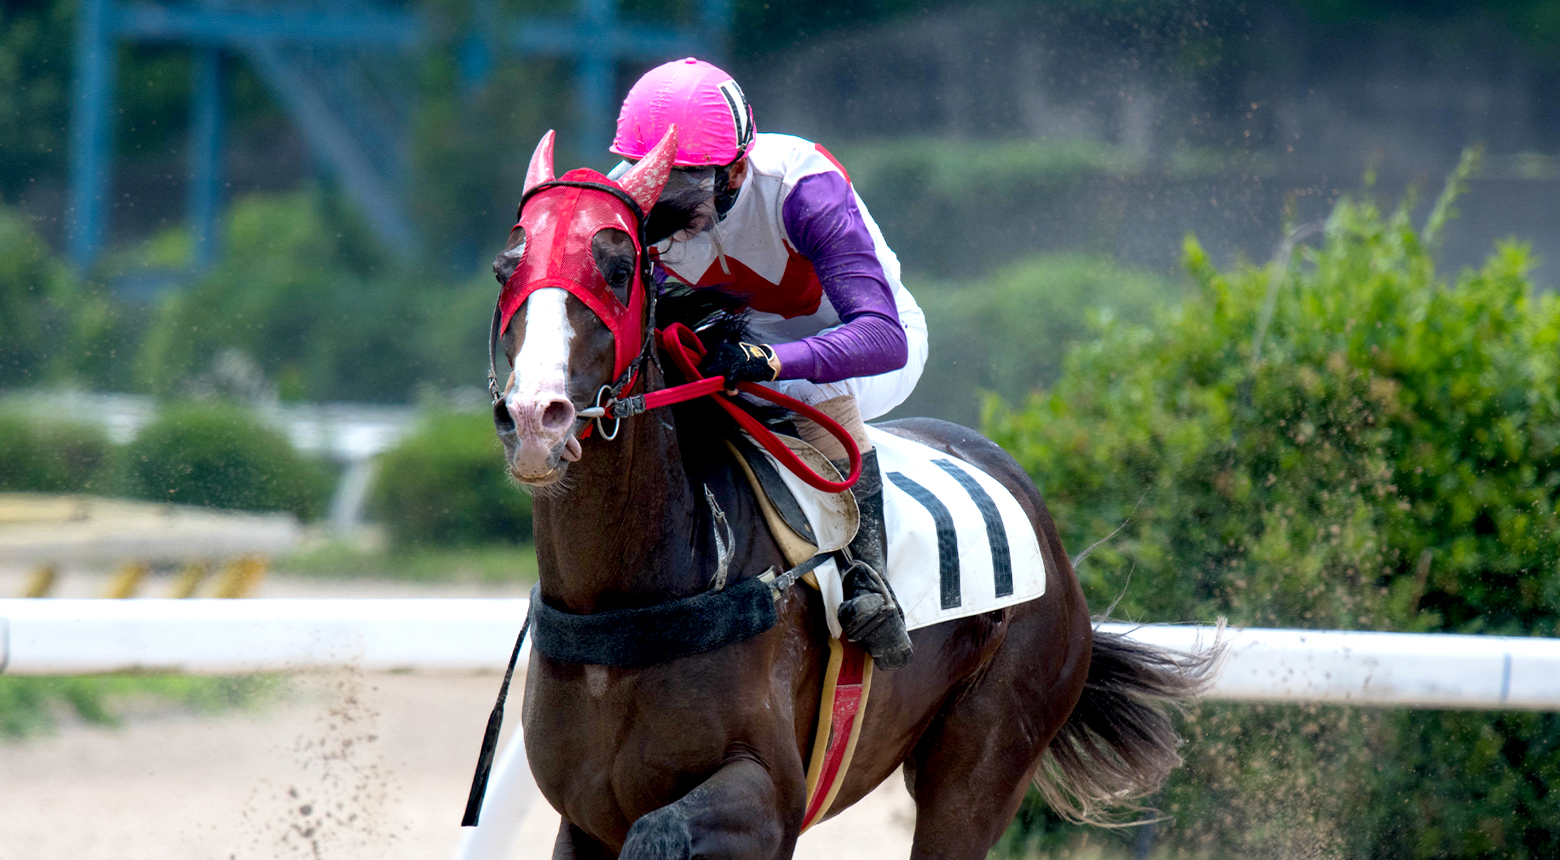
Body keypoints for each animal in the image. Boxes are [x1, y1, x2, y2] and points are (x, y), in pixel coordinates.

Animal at [492, 129, 1210, 860]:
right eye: (505, 269)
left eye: (617, 269)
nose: (535, 418)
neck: (626, 600)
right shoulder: (583, 819)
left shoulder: (769, 799)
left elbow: (661, 830)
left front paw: (737, 358)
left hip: (987, 756)